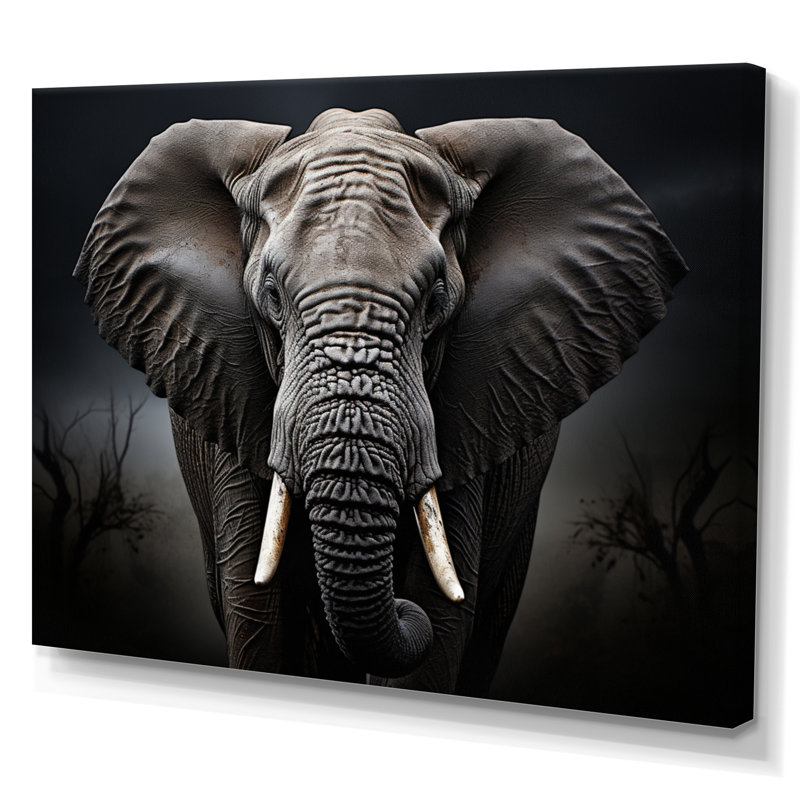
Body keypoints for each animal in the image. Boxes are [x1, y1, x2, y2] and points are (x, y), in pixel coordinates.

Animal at [74, 107, 686, 694]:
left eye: (437, 300)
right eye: (270, 295)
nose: (398, 607)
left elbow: (440, 621)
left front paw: (419, 609)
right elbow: (257, 611)